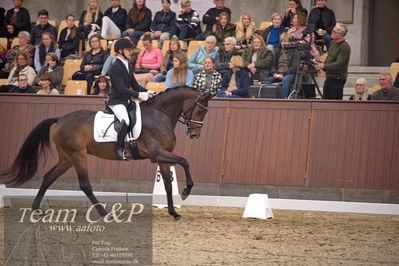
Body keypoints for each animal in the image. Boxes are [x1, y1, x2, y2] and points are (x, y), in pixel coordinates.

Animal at [1, 86, 214, 219]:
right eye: (200, 111)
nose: (194, 134)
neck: (160, 115)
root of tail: (60, 119)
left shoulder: (163, 156)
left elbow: (169, 185)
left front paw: (174, 213)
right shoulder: (156, 155)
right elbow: (185, 161)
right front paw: (186, 192)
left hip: (66, 158)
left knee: (48, 177)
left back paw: (37, 209)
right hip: (78, 156)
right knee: (85, 185)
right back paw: (104, 213)